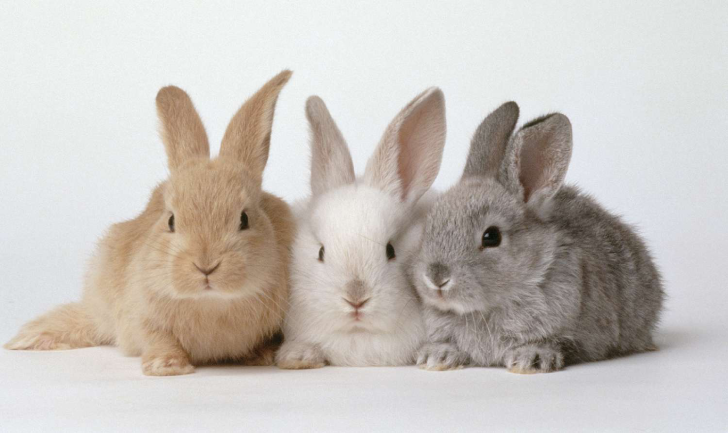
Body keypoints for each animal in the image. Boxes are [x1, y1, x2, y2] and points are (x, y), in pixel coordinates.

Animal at [5, 71, 296, 376]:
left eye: (244, 219)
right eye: (171, 220)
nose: (206, 265)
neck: (211, 302)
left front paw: (261, 355)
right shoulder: (142, 315)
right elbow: (158, 337)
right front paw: (166, 366)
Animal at [411, 101, 664, 374]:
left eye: (491, 237)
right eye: (430, 224)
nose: (436, 278)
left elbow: (553, 342)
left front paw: (530, 360)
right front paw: (437, 357)